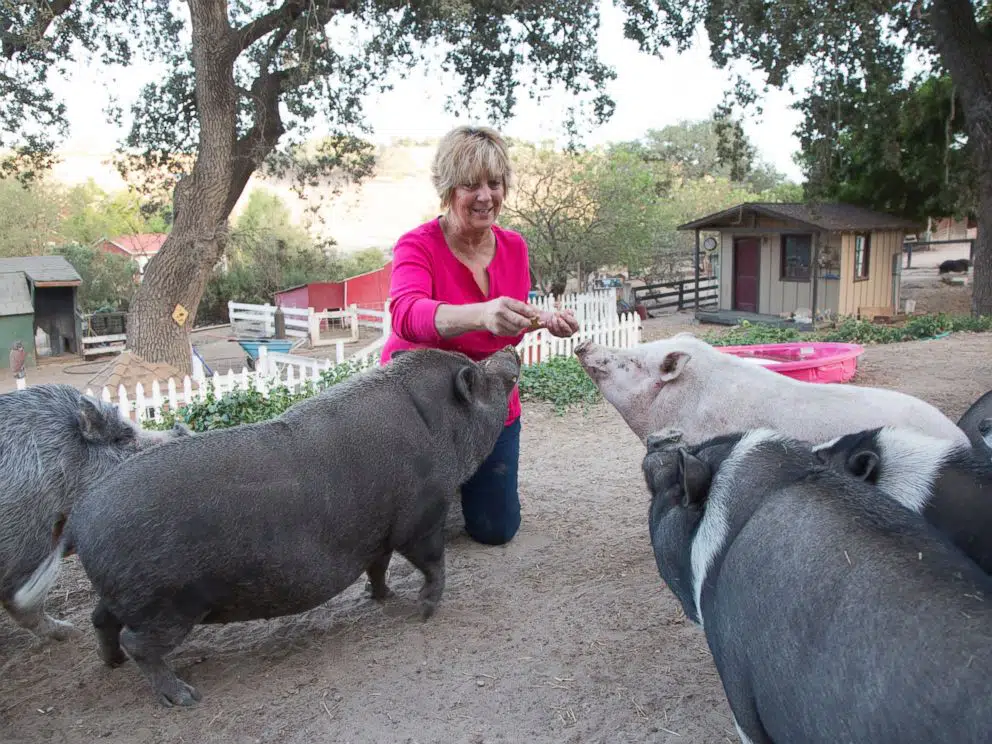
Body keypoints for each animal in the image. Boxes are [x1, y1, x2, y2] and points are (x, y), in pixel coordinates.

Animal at [61, 346, 524, 708]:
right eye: (482, 375)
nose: (509, 352)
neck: (439, 426)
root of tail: (81, 519)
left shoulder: (377, 533)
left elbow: (378, 566)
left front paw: (383, 597)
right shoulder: (422, 515)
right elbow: (433, 563)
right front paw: (424, 612)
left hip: (124, 595)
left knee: (101, 620)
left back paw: (111, 664)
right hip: (166, 606)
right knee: (137, 643)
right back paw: (185, 697)